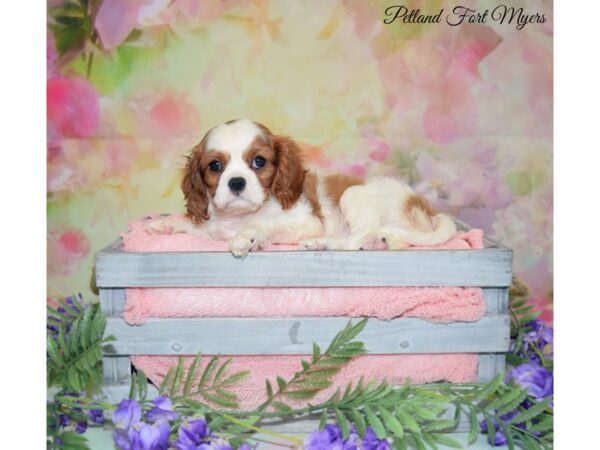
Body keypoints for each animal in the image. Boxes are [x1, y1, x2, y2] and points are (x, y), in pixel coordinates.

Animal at [148, 119, 458, 256]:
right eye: (215, 166)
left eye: (259, 161)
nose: (236, 182)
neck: (240, 217)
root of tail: (422, 203)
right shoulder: (212, 229)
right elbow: (192, 225)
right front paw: (162, 225)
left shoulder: (304, 221)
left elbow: (262, 225)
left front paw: (246, 239)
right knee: (393, 241)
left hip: (353, 195)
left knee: (357, 236)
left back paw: (323, 243)